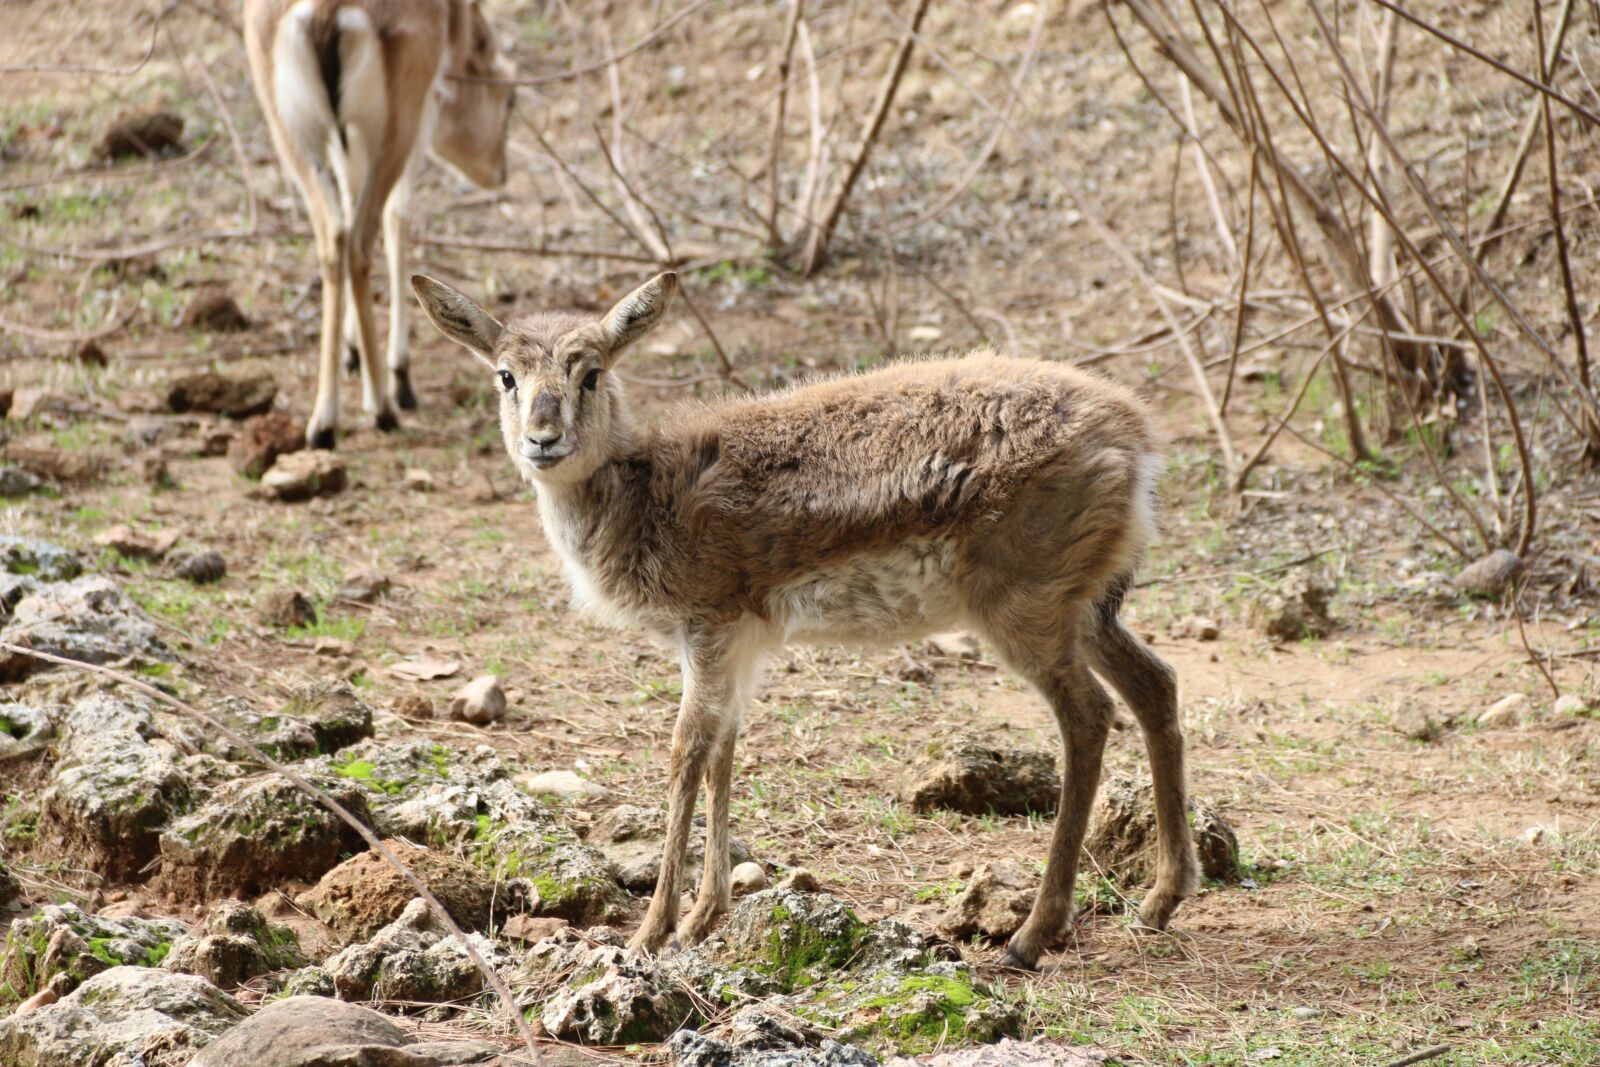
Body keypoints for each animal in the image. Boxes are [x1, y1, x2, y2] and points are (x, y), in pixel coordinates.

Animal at [244, 0, 513, 449]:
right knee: (361, 237)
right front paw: (399, 376)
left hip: (293, 136)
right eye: (510, 95)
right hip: (393, 132)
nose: (500, 171)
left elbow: (352, 200)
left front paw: (351, 351)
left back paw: (323, 422)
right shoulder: (420, 116)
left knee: (334, 237)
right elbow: (397, 217)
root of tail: (323, 13)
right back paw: (382, 407)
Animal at [411, 271, 1197, 970]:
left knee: (1089, 716)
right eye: (506, 374)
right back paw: (1162, 898)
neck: (643, 497)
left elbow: (686, 751)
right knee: (1155, 683)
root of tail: (1138, 440)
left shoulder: (710, 626)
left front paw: (650, 932)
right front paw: (704, 915)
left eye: (592, 372)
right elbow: (725, 750)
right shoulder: (741, 644)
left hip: (1025, 611)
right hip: (1086, 608)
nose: (543, 438)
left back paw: (1031, 935)